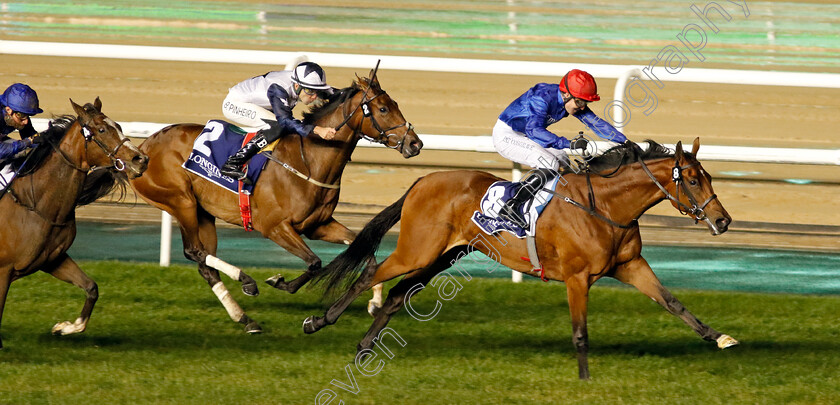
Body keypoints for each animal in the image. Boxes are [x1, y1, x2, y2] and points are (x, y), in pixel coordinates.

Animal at [0, 98, 148, 348]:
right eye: (101, 130)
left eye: (118, 125)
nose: (141, 159)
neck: (37, 205)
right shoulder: (3, 270)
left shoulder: (53, 259)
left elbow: (91, 288)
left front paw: (64, 327)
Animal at [129, 72, 424, 332]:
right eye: (383, 109)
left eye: (395, 105)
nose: (415, 144)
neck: (308, 161)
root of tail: (140, 149)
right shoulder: (274, 227)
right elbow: (314, 263)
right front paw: (280, 282)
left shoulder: (319, 225)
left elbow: (368, 257)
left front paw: (375, 302)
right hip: (181, 202)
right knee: (194, 251)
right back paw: (246, 281)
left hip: (203, 212)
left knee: (205, 263)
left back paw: (246, 319)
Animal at [306, 139, 740, 378]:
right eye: (695, 179)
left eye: (710, 177)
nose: (723, 220)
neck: (606, 206)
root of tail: (423, 180)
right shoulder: (577, 277)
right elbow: (580, 332)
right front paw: (585, 378)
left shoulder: (630, 266)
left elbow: (673, 302)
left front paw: (720, 337)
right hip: (417, 249)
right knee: (371, 276)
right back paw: (319, 322)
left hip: (443, 255)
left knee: (398, 295)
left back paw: (364, 346)